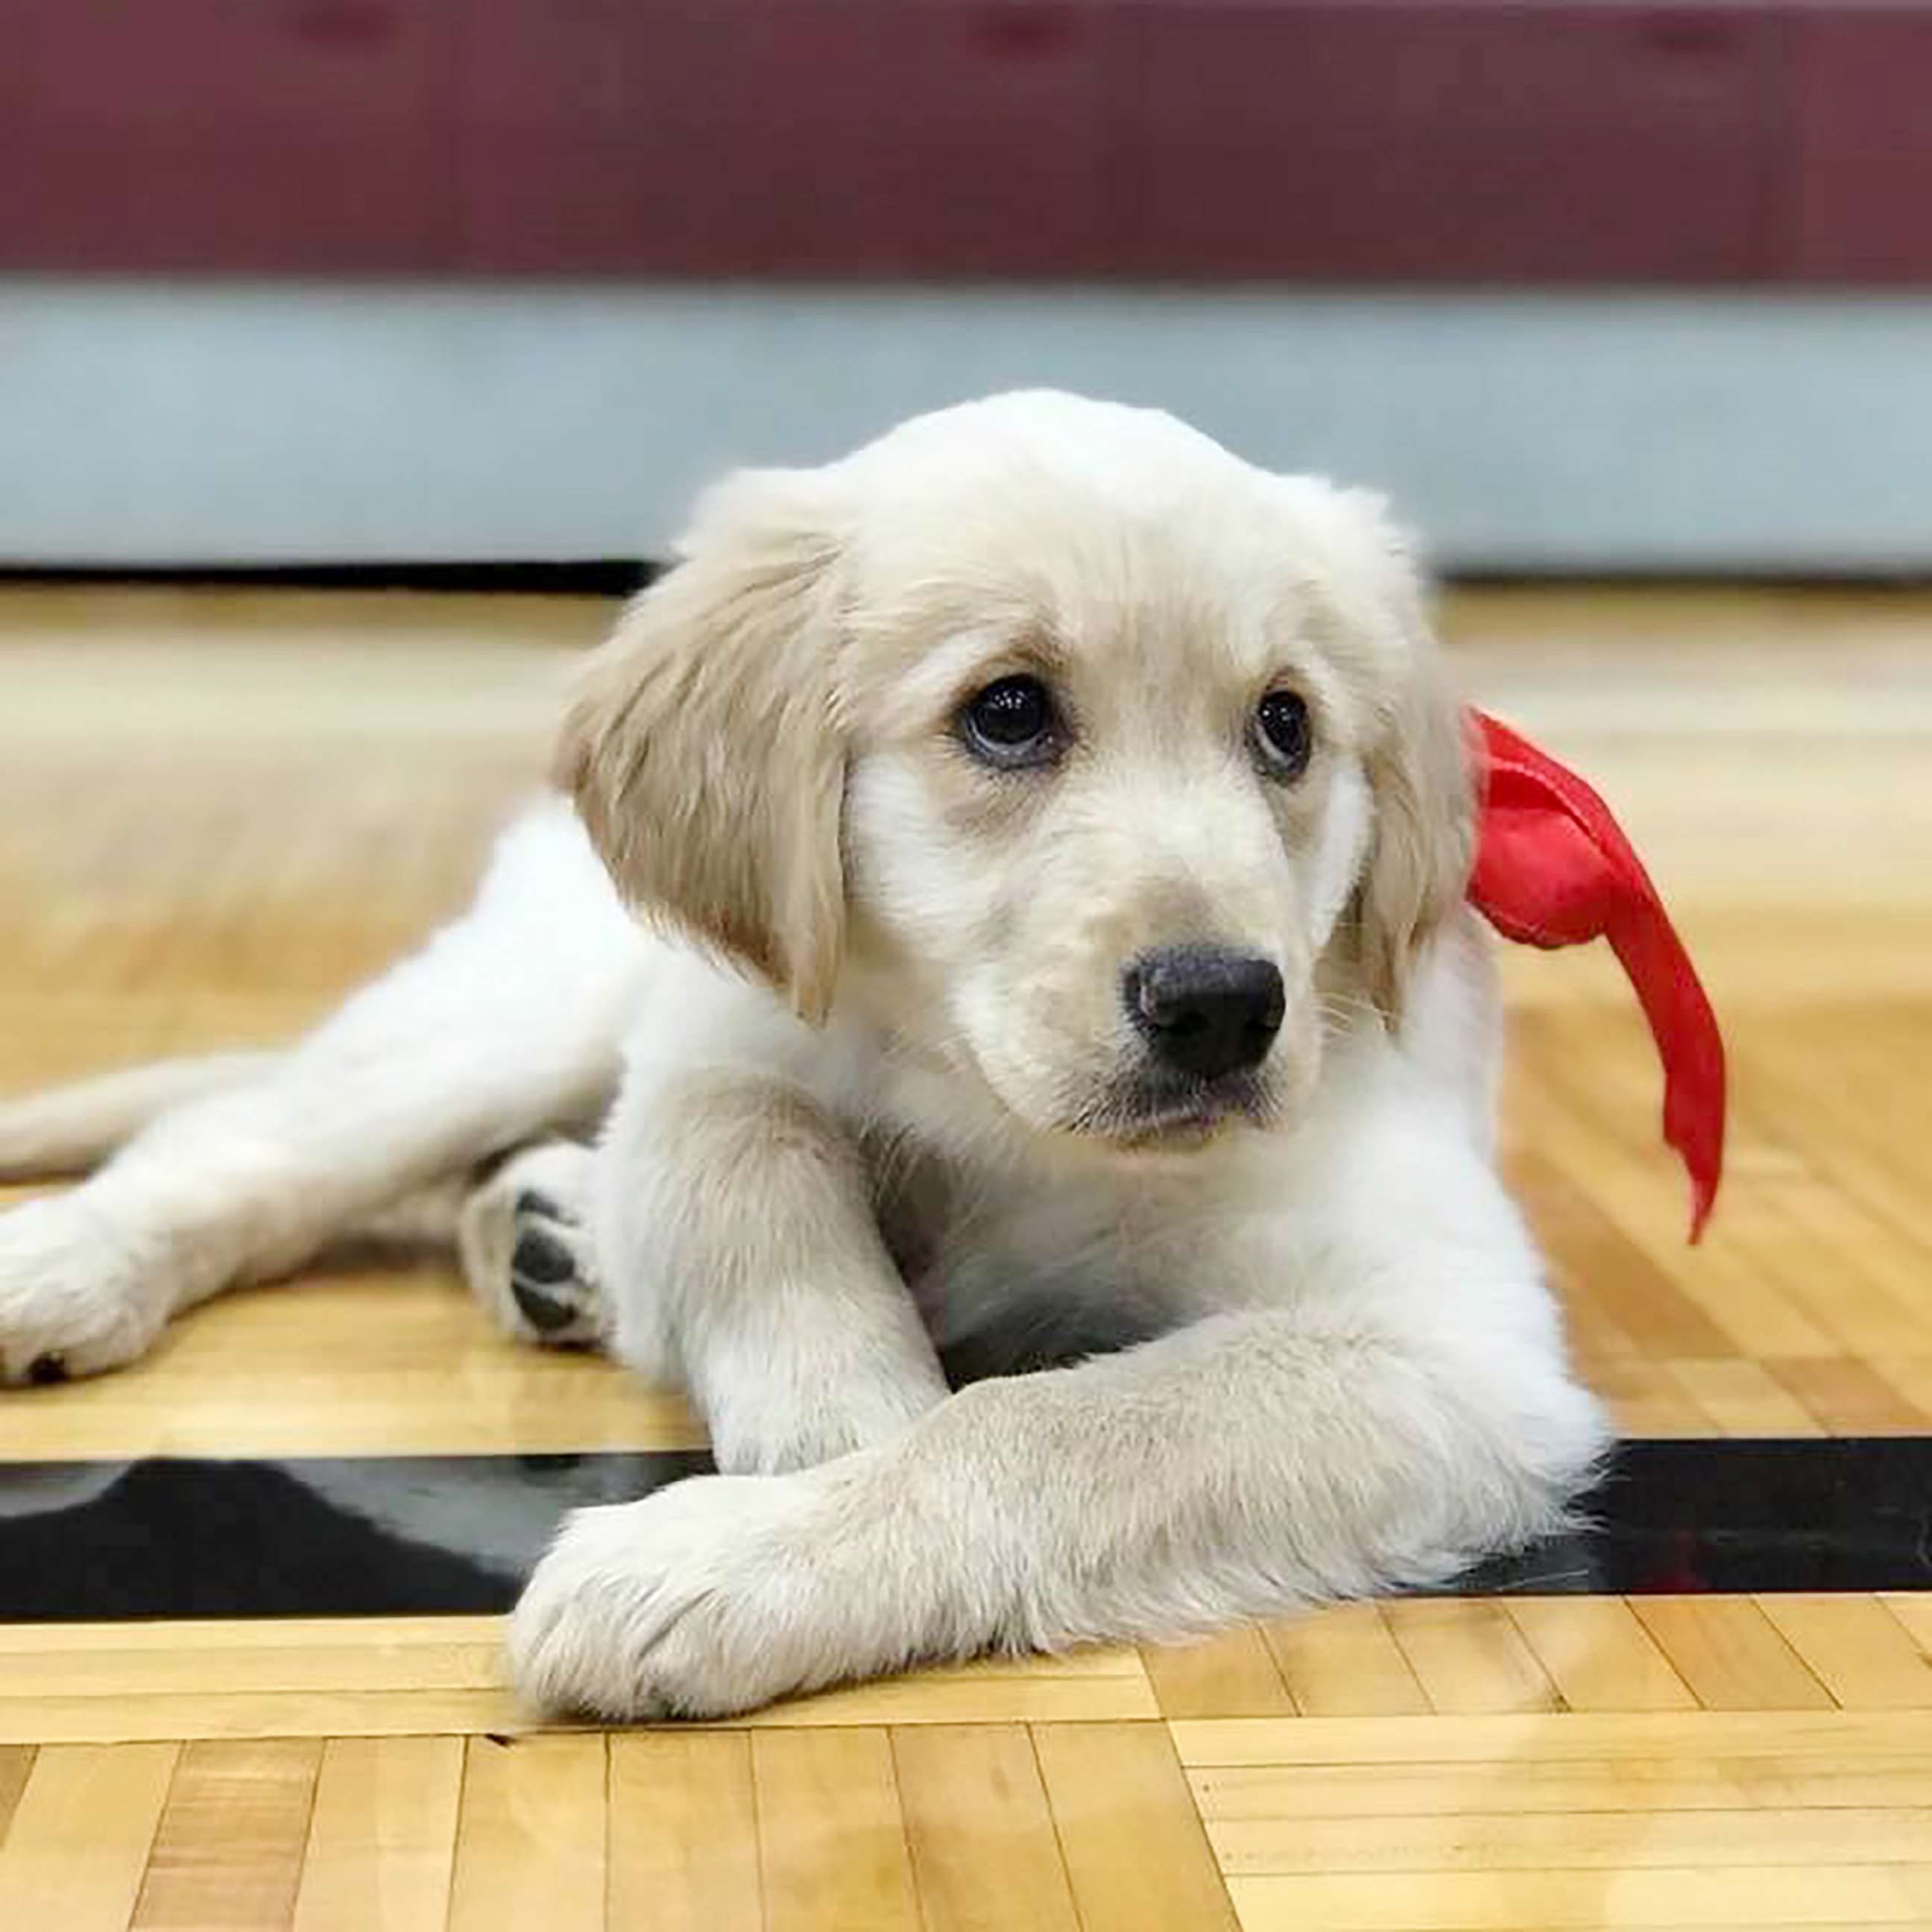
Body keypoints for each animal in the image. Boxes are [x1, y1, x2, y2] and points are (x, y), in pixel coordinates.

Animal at [0, 392, 1607, 1723]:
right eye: (1007, 712)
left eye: (1286, 727)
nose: (1224, 1007)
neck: (998, 1120)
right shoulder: (719, 1027)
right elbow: (750, 1165)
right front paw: (828, 1437)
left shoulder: (1444, 1340)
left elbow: (1051, 1424)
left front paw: (759, 1543)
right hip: (523, 1007)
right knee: (247, 1143)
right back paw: (65, 1263)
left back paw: (548, 1235)